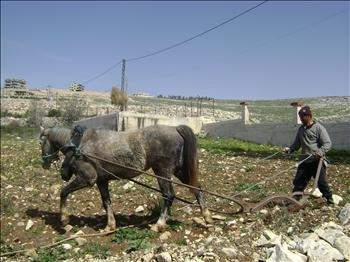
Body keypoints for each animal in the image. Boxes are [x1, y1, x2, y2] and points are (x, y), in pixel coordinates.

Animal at [61, 125, 212, 231]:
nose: (63, 174)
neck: (79, 147)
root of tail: (175, 128)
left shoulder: (87, 178)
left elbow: (64, 192)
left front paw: (63, 218)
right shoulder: (102, 181)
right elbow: (106, 202)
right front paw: (110, 226)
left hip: (162, 171)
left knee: (169, 195)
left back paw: (159, 225)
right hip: (178, 171)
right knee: (197, 189)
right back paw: (207, 217)